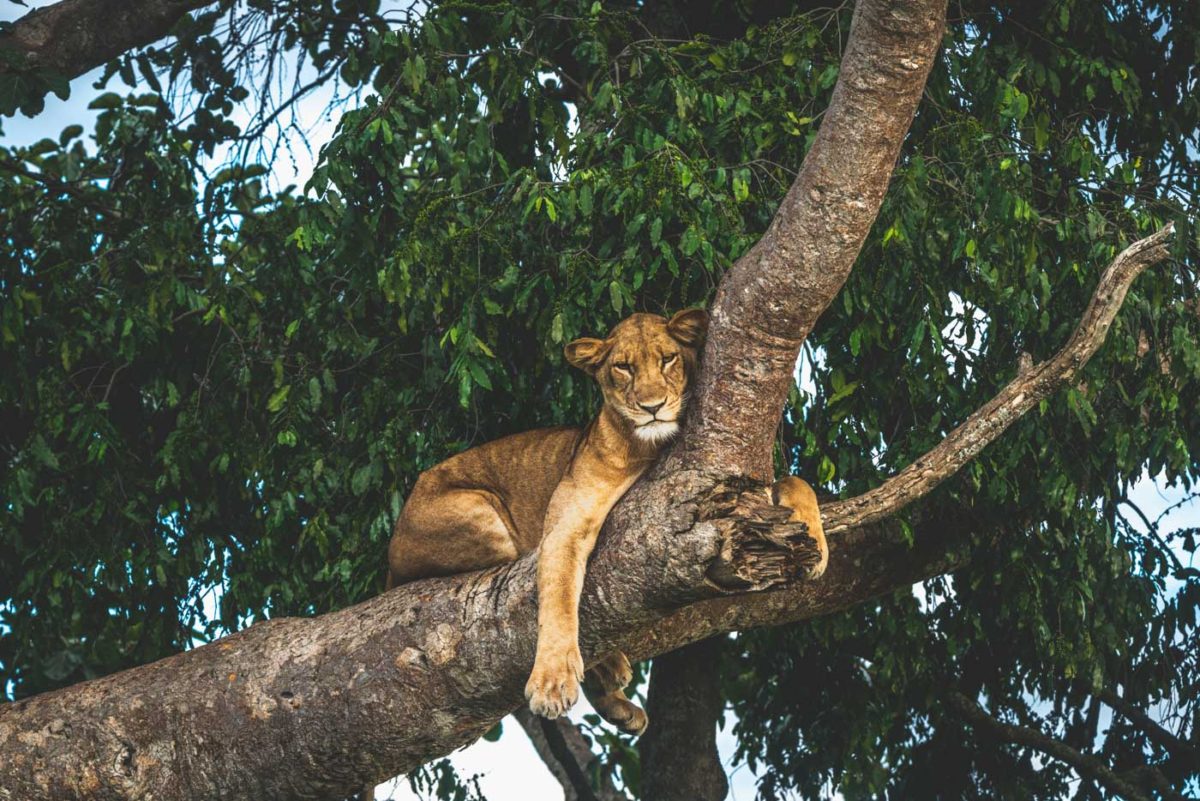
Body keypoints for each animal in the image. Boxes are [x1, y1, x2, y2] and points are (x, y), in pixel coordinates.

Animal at [385, 309, 827, 734]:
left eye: (668, 358)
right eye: (623, 367)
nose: (652, 407)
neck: (649, 447)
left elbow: (797, 480)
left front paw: (816, 548)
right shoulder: (565, 527)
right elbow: (559, 600)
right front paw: (551, 683)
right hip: (481, 520)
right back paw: (611, 666)